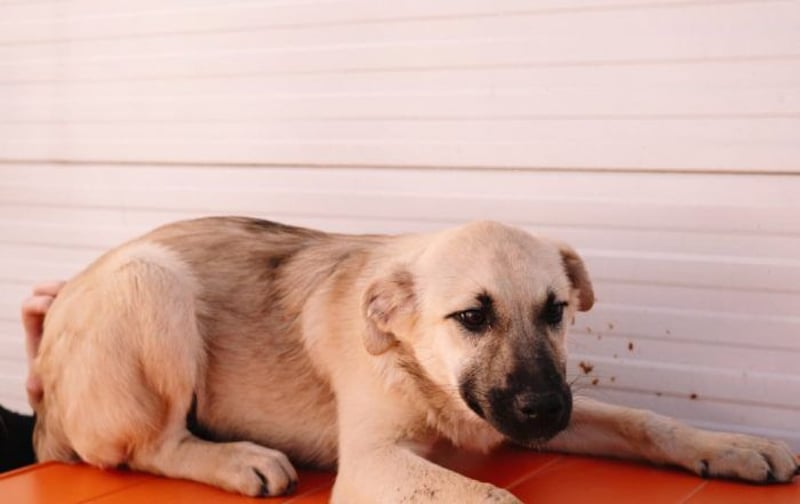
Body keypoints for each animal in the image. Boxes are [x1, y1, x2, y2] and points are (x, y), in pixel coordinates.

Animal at [31, 217, 798, 502]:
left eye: (556, 311)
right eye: (472, 318)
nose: (547, 410)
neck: (417, 366)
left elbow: (647, 421)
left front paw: (733, 445)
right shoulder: (372, 463)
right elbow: (489, 495)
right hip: (150, 279)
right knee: (149, 446)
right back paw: (237, 459)